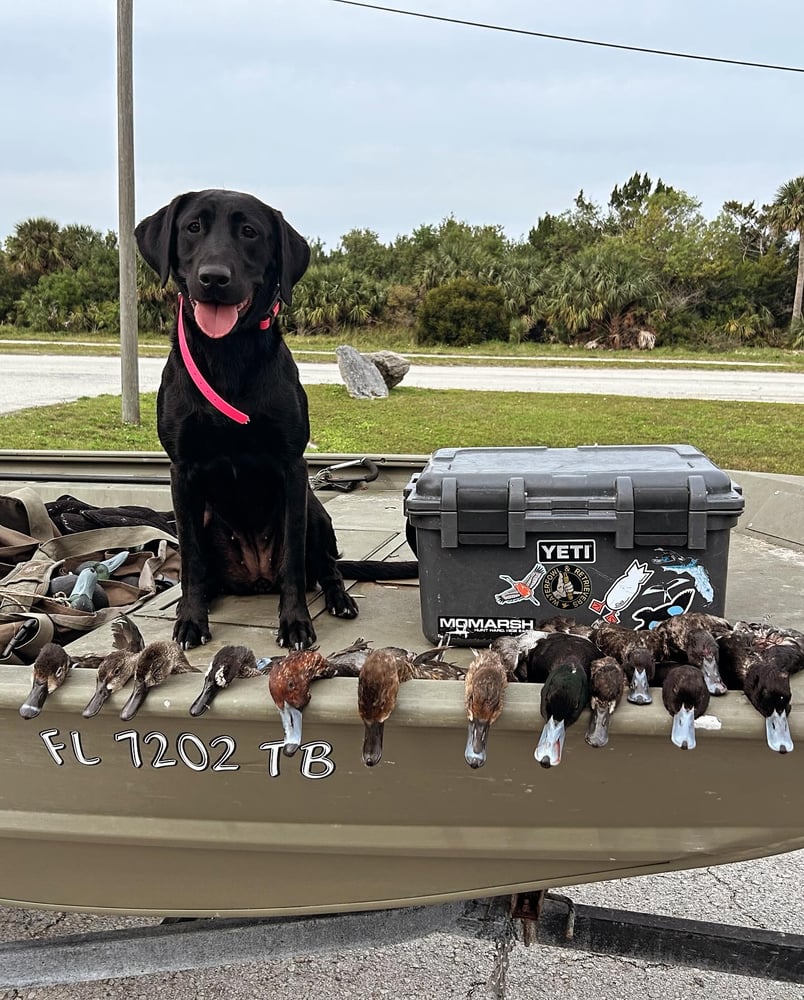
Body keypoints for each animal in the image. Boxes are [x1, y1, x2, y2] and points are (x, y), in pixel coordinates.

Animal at [135, 191, 412, 652]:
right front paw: (191, 618)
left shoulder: (292, 468)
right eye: (192, 227)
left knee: (326, 567)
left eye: (249, 232)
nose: (214, 277)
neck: (228, 356)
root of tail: (257, 576)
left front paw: (295, 623)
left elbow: (296, 566)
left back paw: (338, 599)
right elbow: (189, 558)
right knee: (205, 568)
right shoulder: (182, 472)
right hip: (206, 515)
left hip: (314, 509)